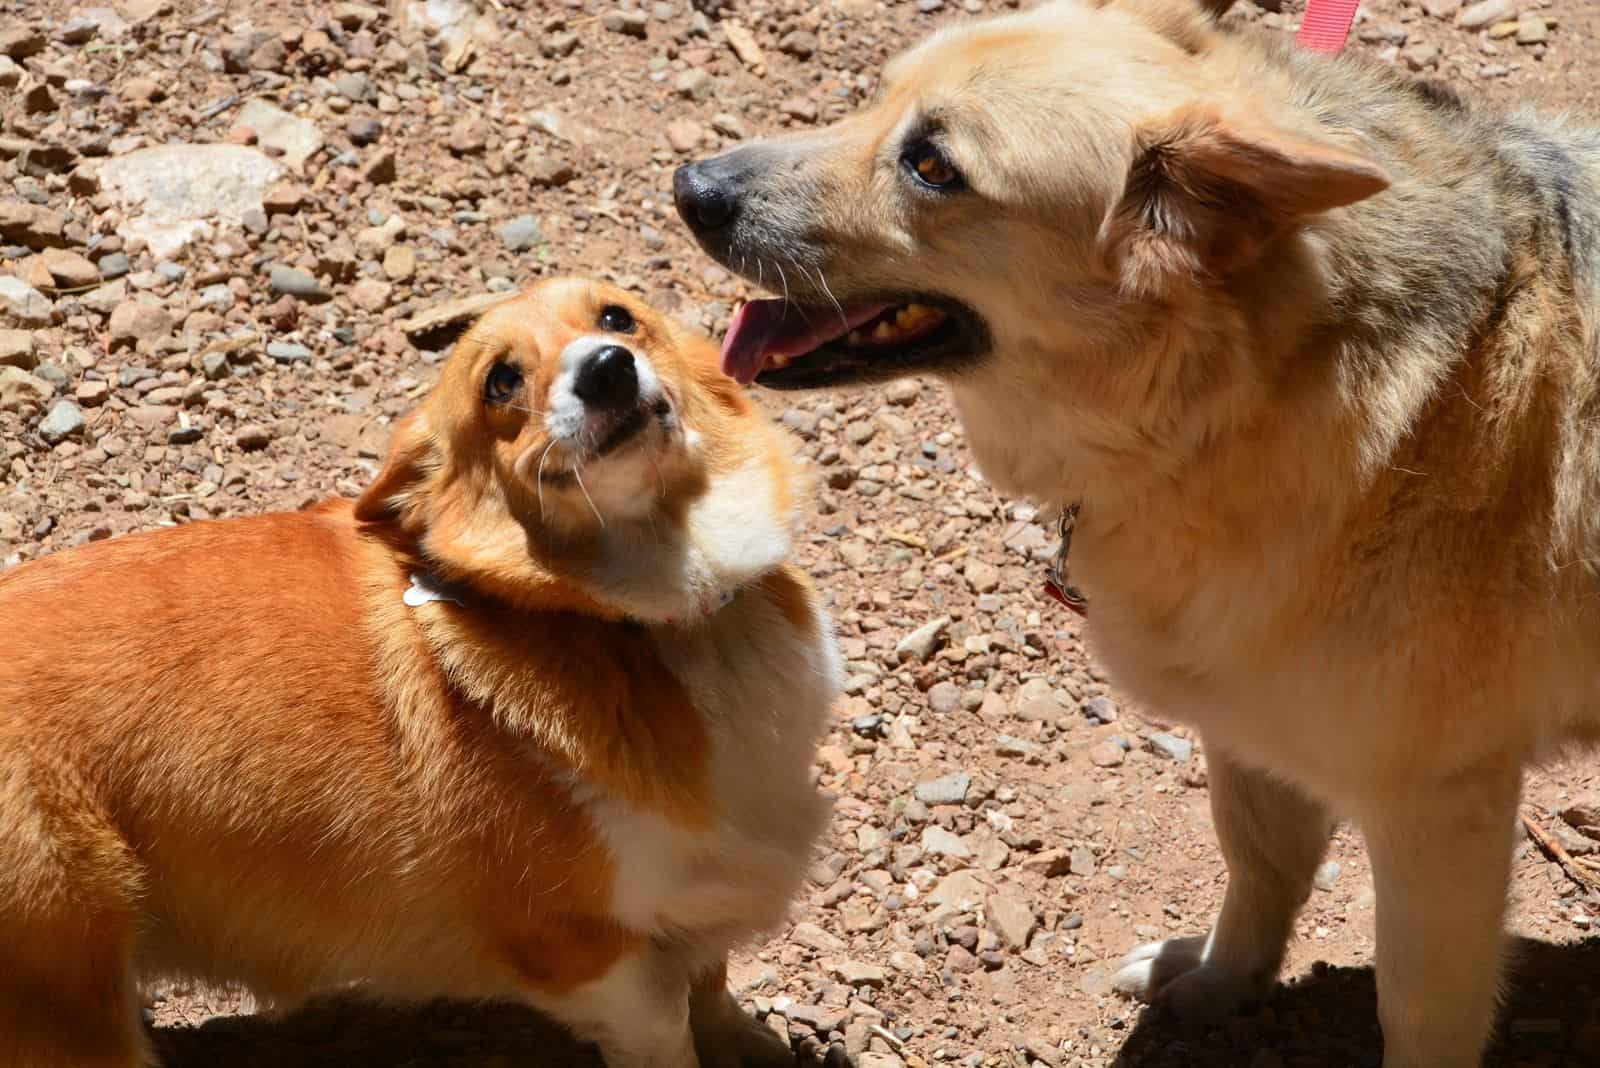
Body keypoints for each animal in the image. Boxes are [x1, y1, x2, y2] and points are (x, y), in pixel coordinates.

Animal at [0, 278, 844, 1068]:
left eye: (616, 318)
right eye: (500, 380)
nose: (607, 369)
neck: (663, 620)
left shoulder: (707, 898)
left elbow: (714, 988)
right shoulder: (583, 951)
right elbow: (669, 1028)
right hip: (65, 988)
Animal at [668, 4, 1600, 1061]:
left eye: (934, 166)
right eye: (877, 96)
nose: (692, 189)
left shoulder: (1439, 812)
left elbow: (1417, 1009)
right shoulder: (1248, 721)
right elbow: (1259, 862)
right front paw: (1222, 981)